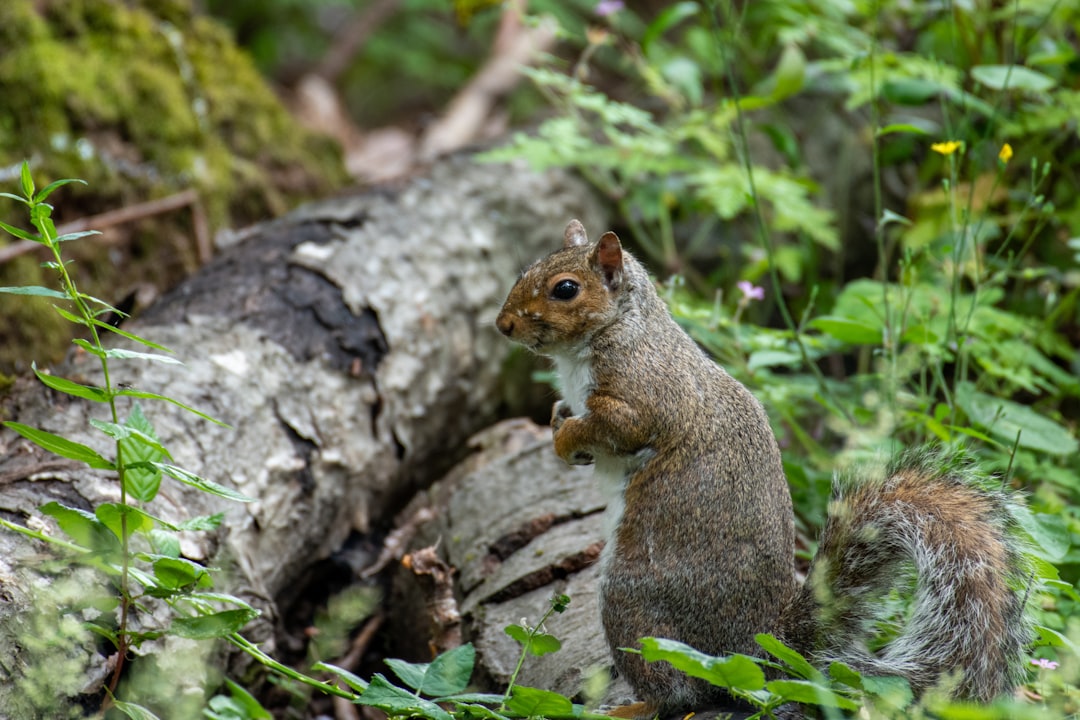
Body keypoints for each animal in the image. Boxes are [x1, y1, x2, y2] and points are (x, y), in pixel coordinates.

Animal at [494, 222, 1032, 716]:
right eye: (525, 271)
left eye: (566, 288)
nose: (503, 325)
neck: (619, 328)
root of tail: (759, 645)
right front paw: (558, 426)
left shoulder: (644, 392)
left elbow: (619, 426)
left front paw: (566, 438)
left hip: (632, 602)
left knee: (677, 688)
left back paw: (635, 706)